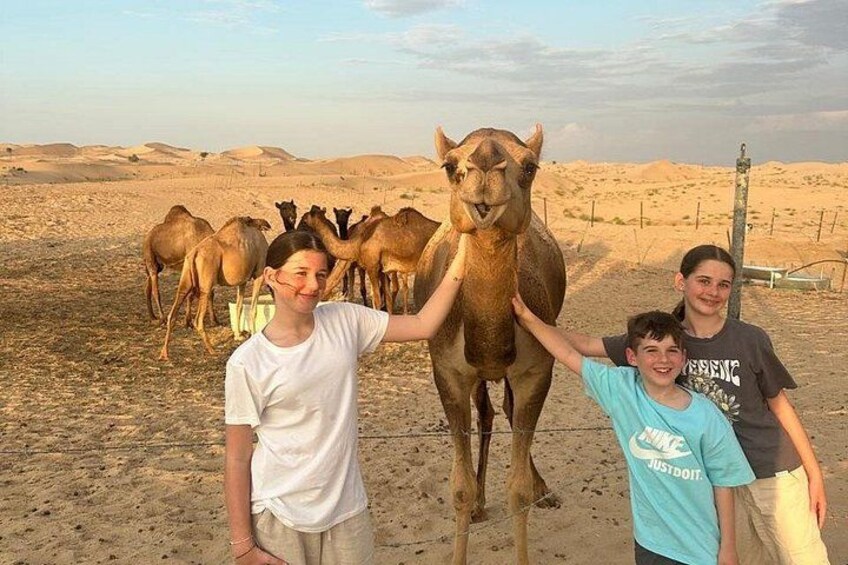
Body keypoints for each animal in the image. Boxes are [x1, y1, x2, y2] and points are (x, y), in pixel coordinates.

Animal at [158, 216, 272, 360]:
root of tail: (194, 253)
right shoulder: (259, 273)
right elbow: (253, 309)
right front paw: (252, 335)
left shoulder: (242, 280)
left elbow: (239, 306)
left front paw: (238, 335)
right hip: (206, 283)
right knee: (198, 319)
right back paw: (211, 349)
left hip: (185, 276)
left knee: (173, 313)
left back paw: (164, 353)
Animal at [306, 206, 439, 314]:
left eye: (309, 214)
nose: (304, 218)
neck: (358, 242)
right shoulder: (382, 270)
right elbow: (387, 298)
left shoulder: (372, 267)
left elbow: (377, 299)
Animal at [413, 125, 566, 565]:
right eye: (449, 166)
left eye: (530, 167)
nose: (484, 166)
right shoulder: (449, 373)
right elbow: (459, 488)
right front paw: (473, 502)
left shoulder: (536, 371)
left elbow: (517, 489)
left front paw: (532, 489)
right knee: (487, 414)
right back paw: (483, 503)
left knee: (508, 412)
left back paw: (543, 490)